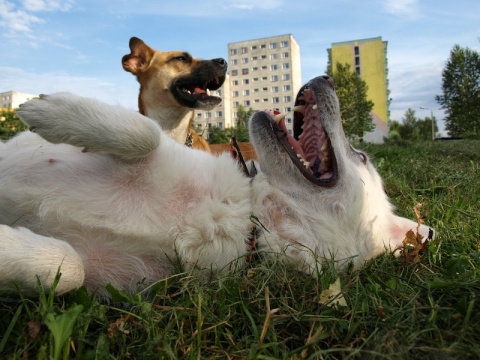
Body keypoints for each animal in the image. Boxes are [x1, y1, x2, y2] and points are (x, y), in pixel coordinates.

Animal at [0, 76, 432, 298]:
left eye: (361, 156)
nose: (325, 77)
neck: (248, 217)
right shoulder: (156, 146)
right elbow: (144, 133)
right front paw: (49, 110)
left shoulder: (106, 285)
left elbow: (68, 267)